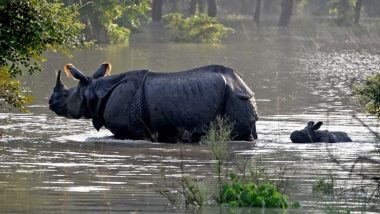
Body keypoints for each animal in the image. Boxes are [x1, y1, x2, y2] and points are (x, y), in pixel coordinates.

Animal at [48, 62, 258, 142]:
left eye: (65, 95)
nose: (51, 102)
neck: (94, 91)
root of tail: (243, 84)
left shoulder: (130, 130)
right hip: (235, 95)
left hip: (234, 98)